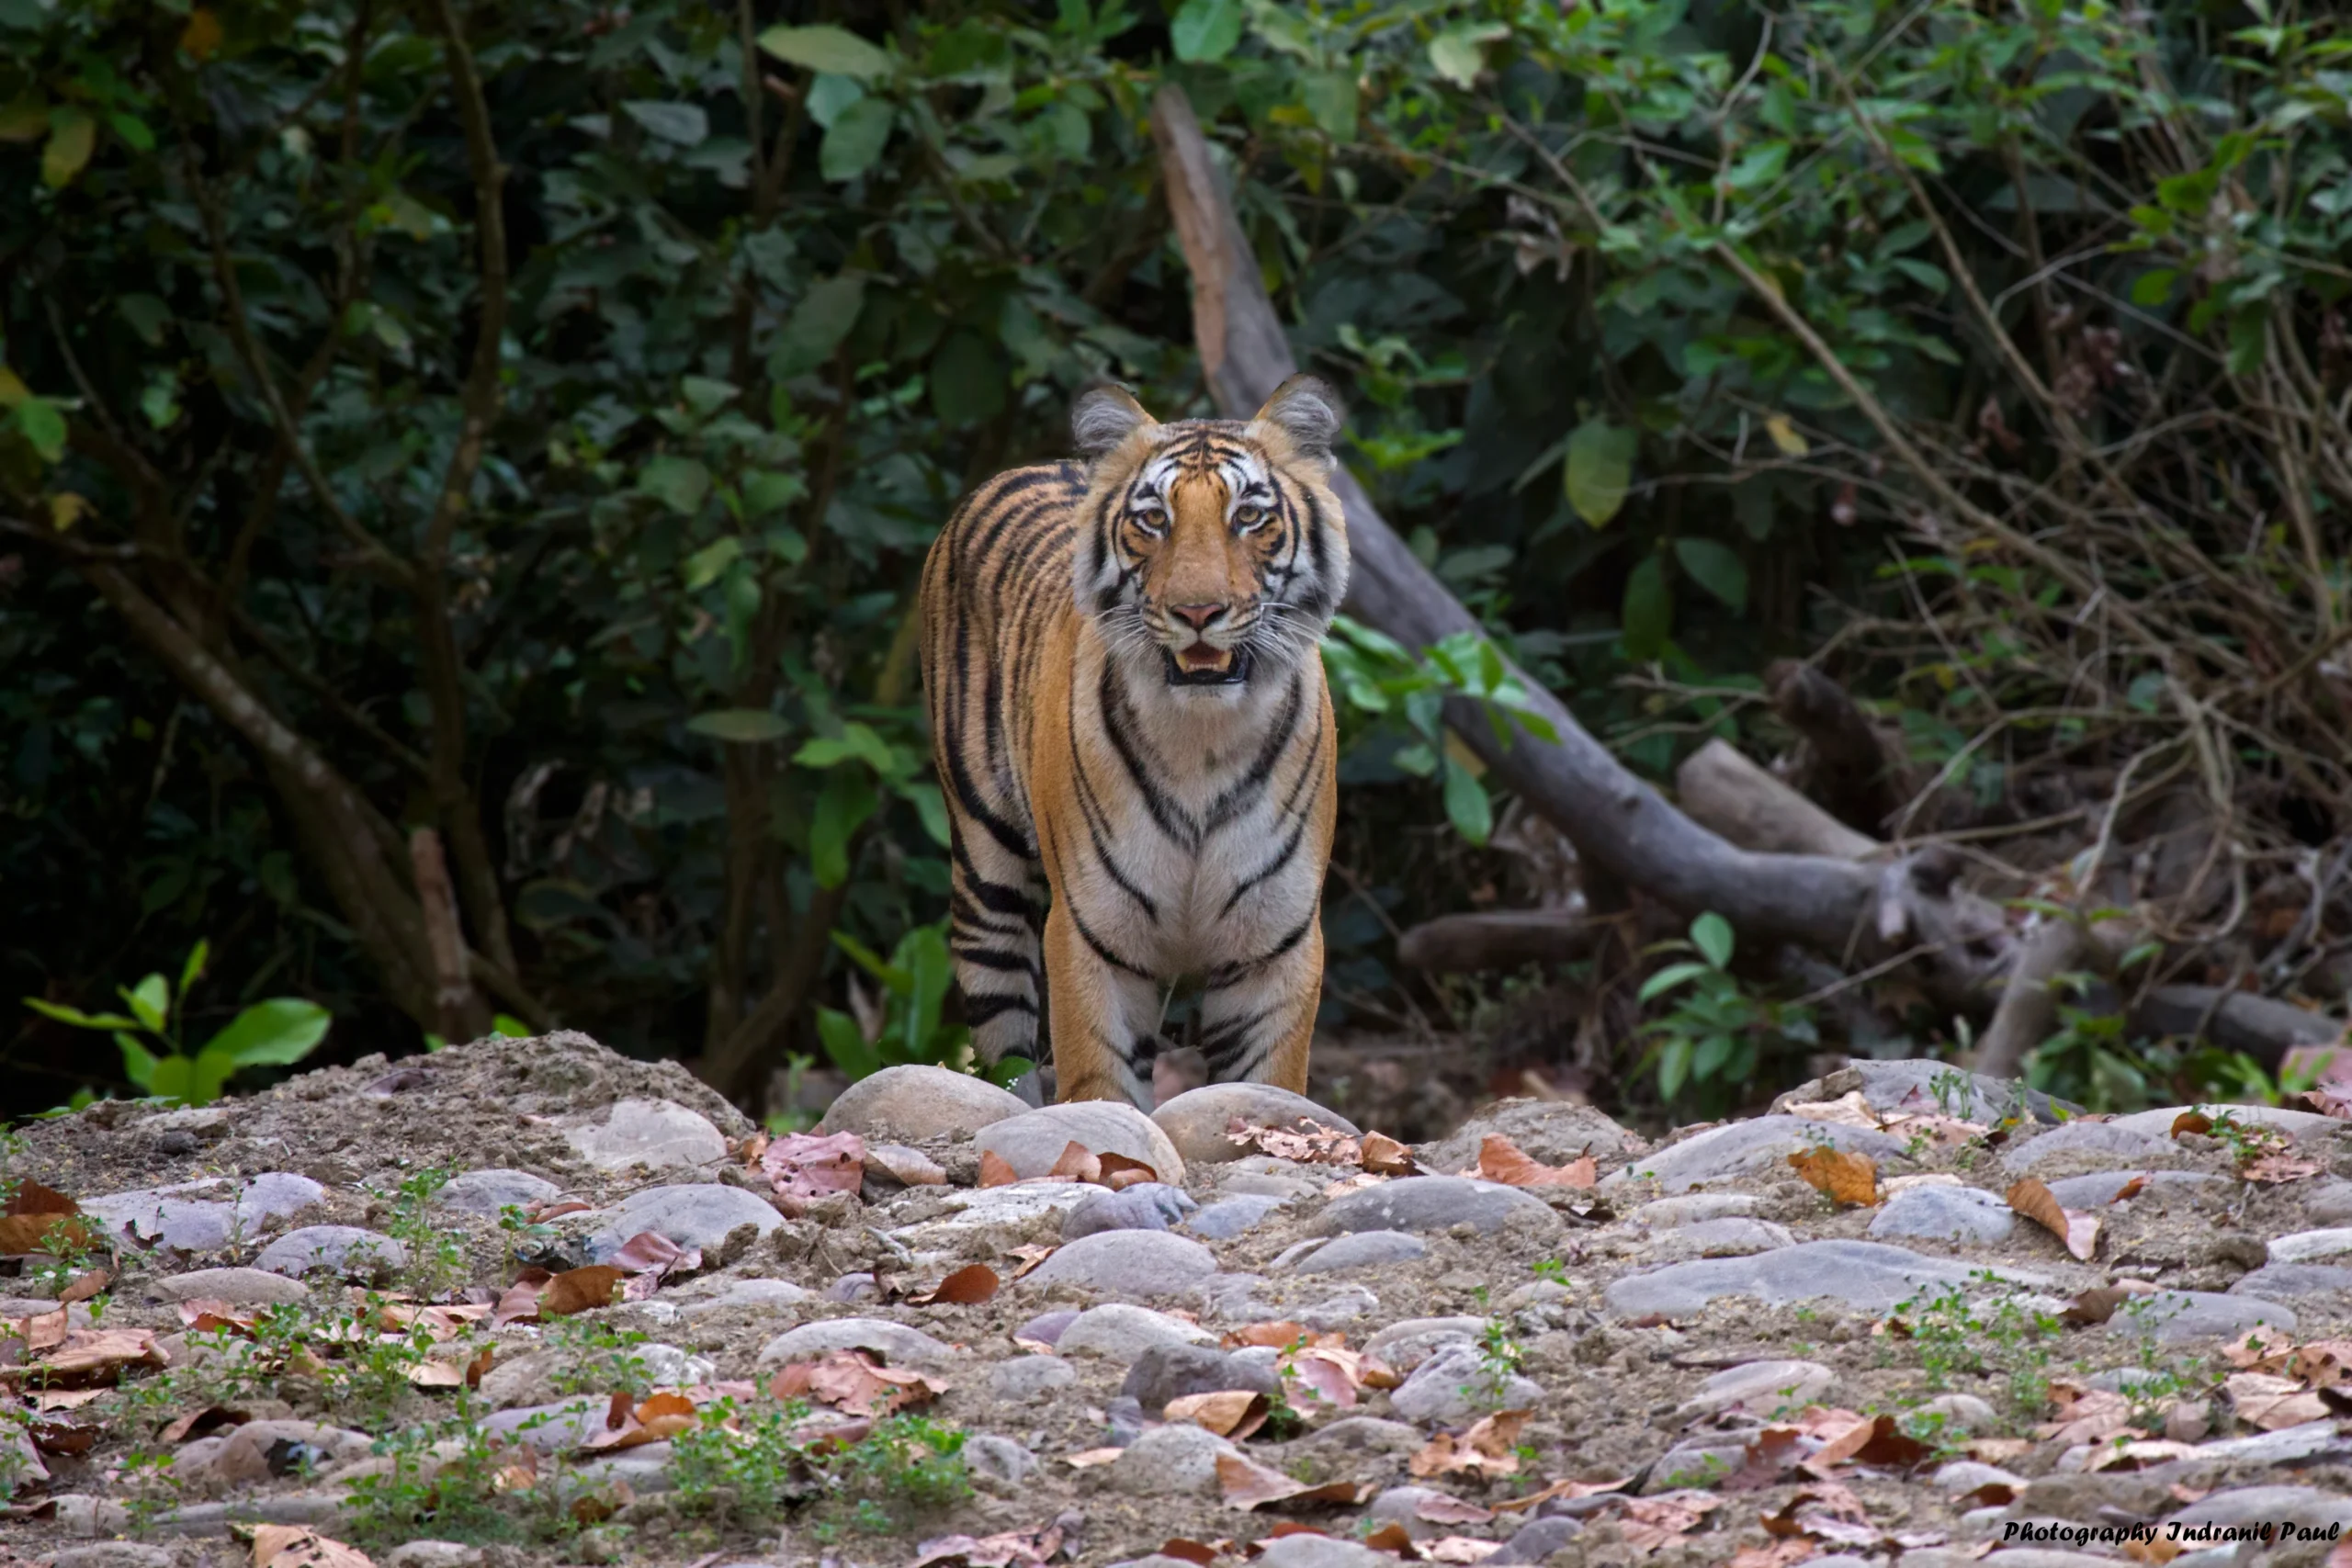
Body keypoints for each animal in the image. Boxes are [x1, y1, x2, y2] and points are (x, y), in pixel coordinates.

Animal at [919, 375, 1350, 1109]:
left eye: (1248, 516)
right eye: (1153, 520)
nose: (1198, 611)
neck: (1203, 741)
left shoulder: (1275, 944)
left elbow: (1266, 1089)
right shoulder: (1092, 933)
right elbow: (1101, 1084)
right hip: (985, 876)